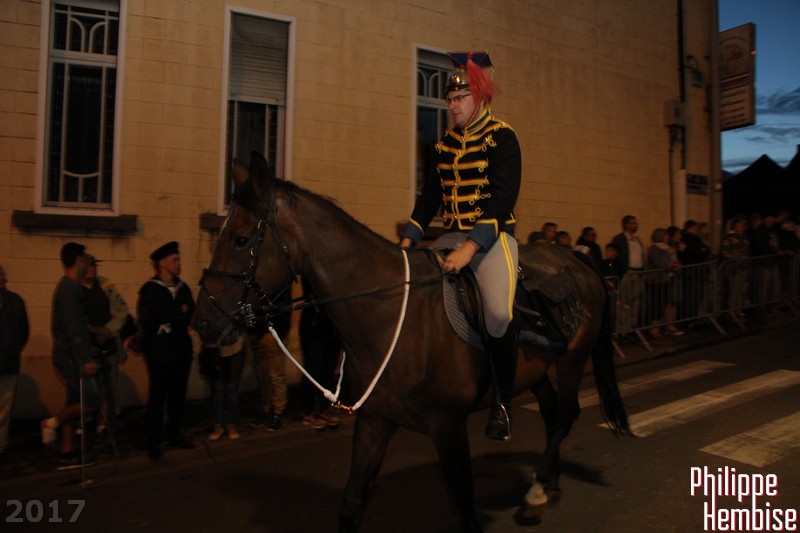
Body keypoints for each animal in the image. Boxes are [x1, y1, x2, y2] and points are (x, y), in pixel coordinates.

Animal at [192, 152, 630, 532]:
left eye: (241, 239)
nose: (203, 322)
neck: (386, 314)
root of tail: (576, 258)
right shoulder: (375, 423)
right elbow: (351, 504)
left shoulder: (448, 426)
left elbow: (463, 501)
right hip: (536, 370)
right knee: (553, 413)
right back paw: (549, 483)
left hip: (572, 359)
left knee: (566, 414)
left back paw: (538, 489)